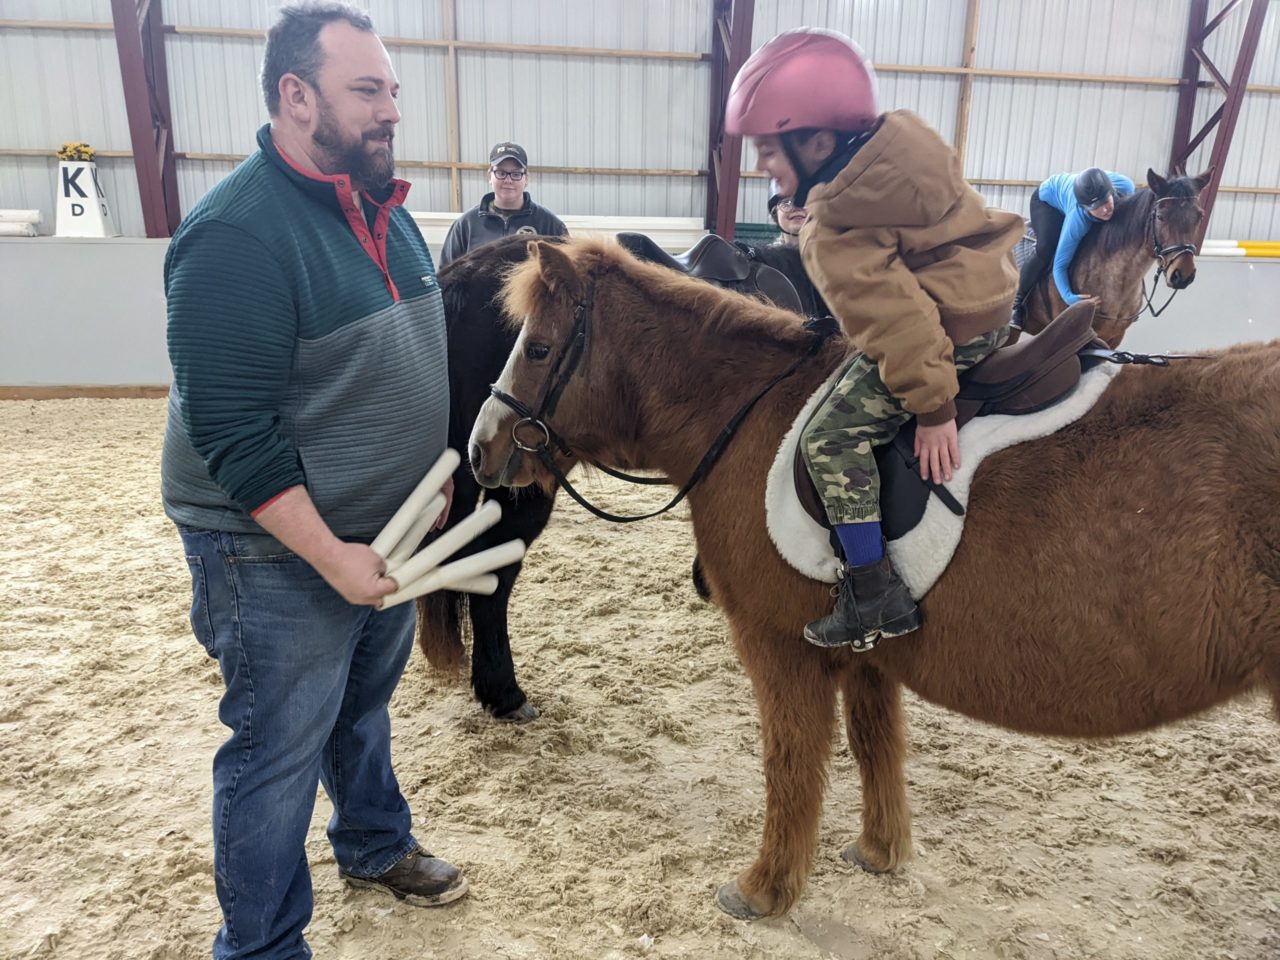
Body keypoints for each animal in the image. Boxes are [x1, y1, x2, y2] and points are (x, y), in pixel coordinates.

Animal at [467, 235, 1280, 920]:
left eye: (537, 348)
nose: (481, 450)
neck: (747, 408)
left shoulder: (777, 645)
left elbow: (791, 761)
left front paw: (765, 889)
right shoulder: (866, 649)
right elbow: (873, 743)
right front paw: (880, 850)